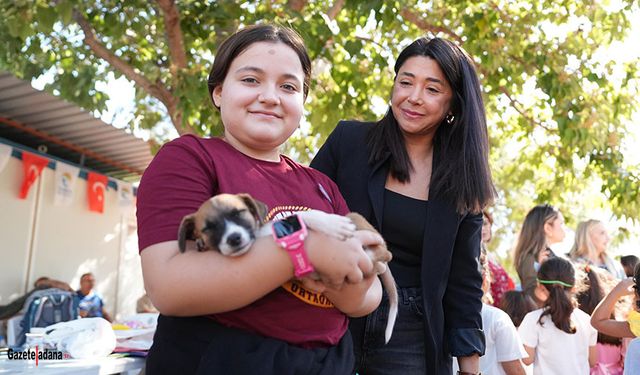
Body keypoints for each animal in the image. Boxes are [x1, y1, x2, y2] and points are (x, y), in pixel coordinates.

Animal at [179, 194, 396, 344]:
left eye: (239, 213)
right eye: (209, 228)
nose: (234, 238)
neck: (260, 238)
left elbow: (306, 215)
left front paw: (330, 223)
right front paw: (200, 243)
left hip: (358, 221)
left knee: (385, 256)